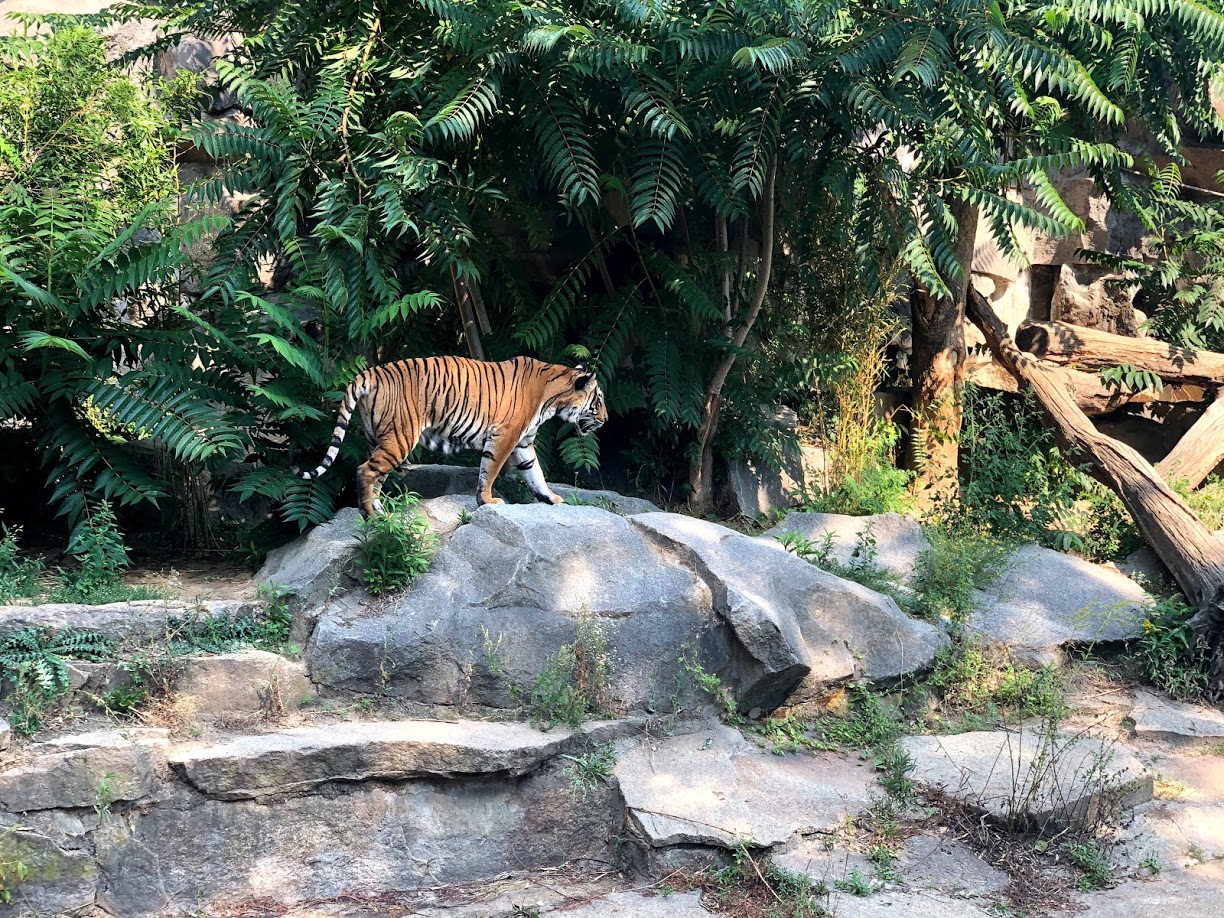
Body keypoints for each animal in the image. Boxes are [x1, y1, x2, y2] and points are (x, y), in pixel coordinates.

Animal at [293, 356, 608, 516]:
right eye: (599, 400)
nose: (605, 421)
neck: (552, 398)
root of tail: (369, 373)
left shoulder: (524, 442)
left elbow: (535, 473)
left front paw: (551, 498)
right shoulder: (505, 436)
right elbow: (490, 470)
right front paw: (488, 501)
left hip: (377, 437)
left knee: (374, 475)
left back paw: (378, 509)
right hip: (400, 437)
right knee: (365, 471)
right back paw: (374, 516)